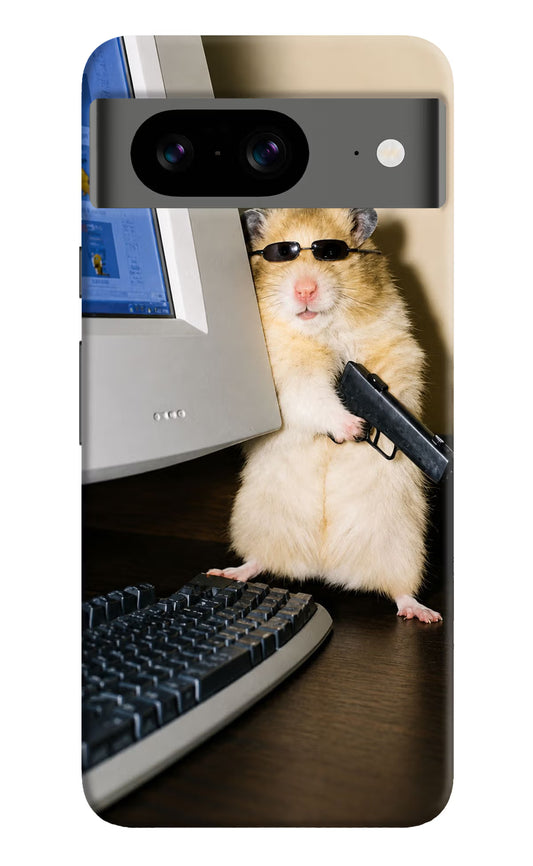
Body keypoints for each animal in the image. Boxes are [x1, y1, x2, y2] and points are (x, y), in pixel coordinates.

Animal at [208, 208, 442, 623]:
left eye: (330, 253)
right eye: (281, 253)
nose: (305, 290)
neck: (321, 330)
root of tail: (325, 567)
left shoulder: (398, 349)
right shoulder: (288, 377)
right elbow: (315, 399)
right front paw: (355, 427)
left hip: (404, 547)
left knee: (400, 591)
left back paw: (423, 613)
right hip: (257, 524)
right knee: (259, 561)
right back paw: (227, 572)